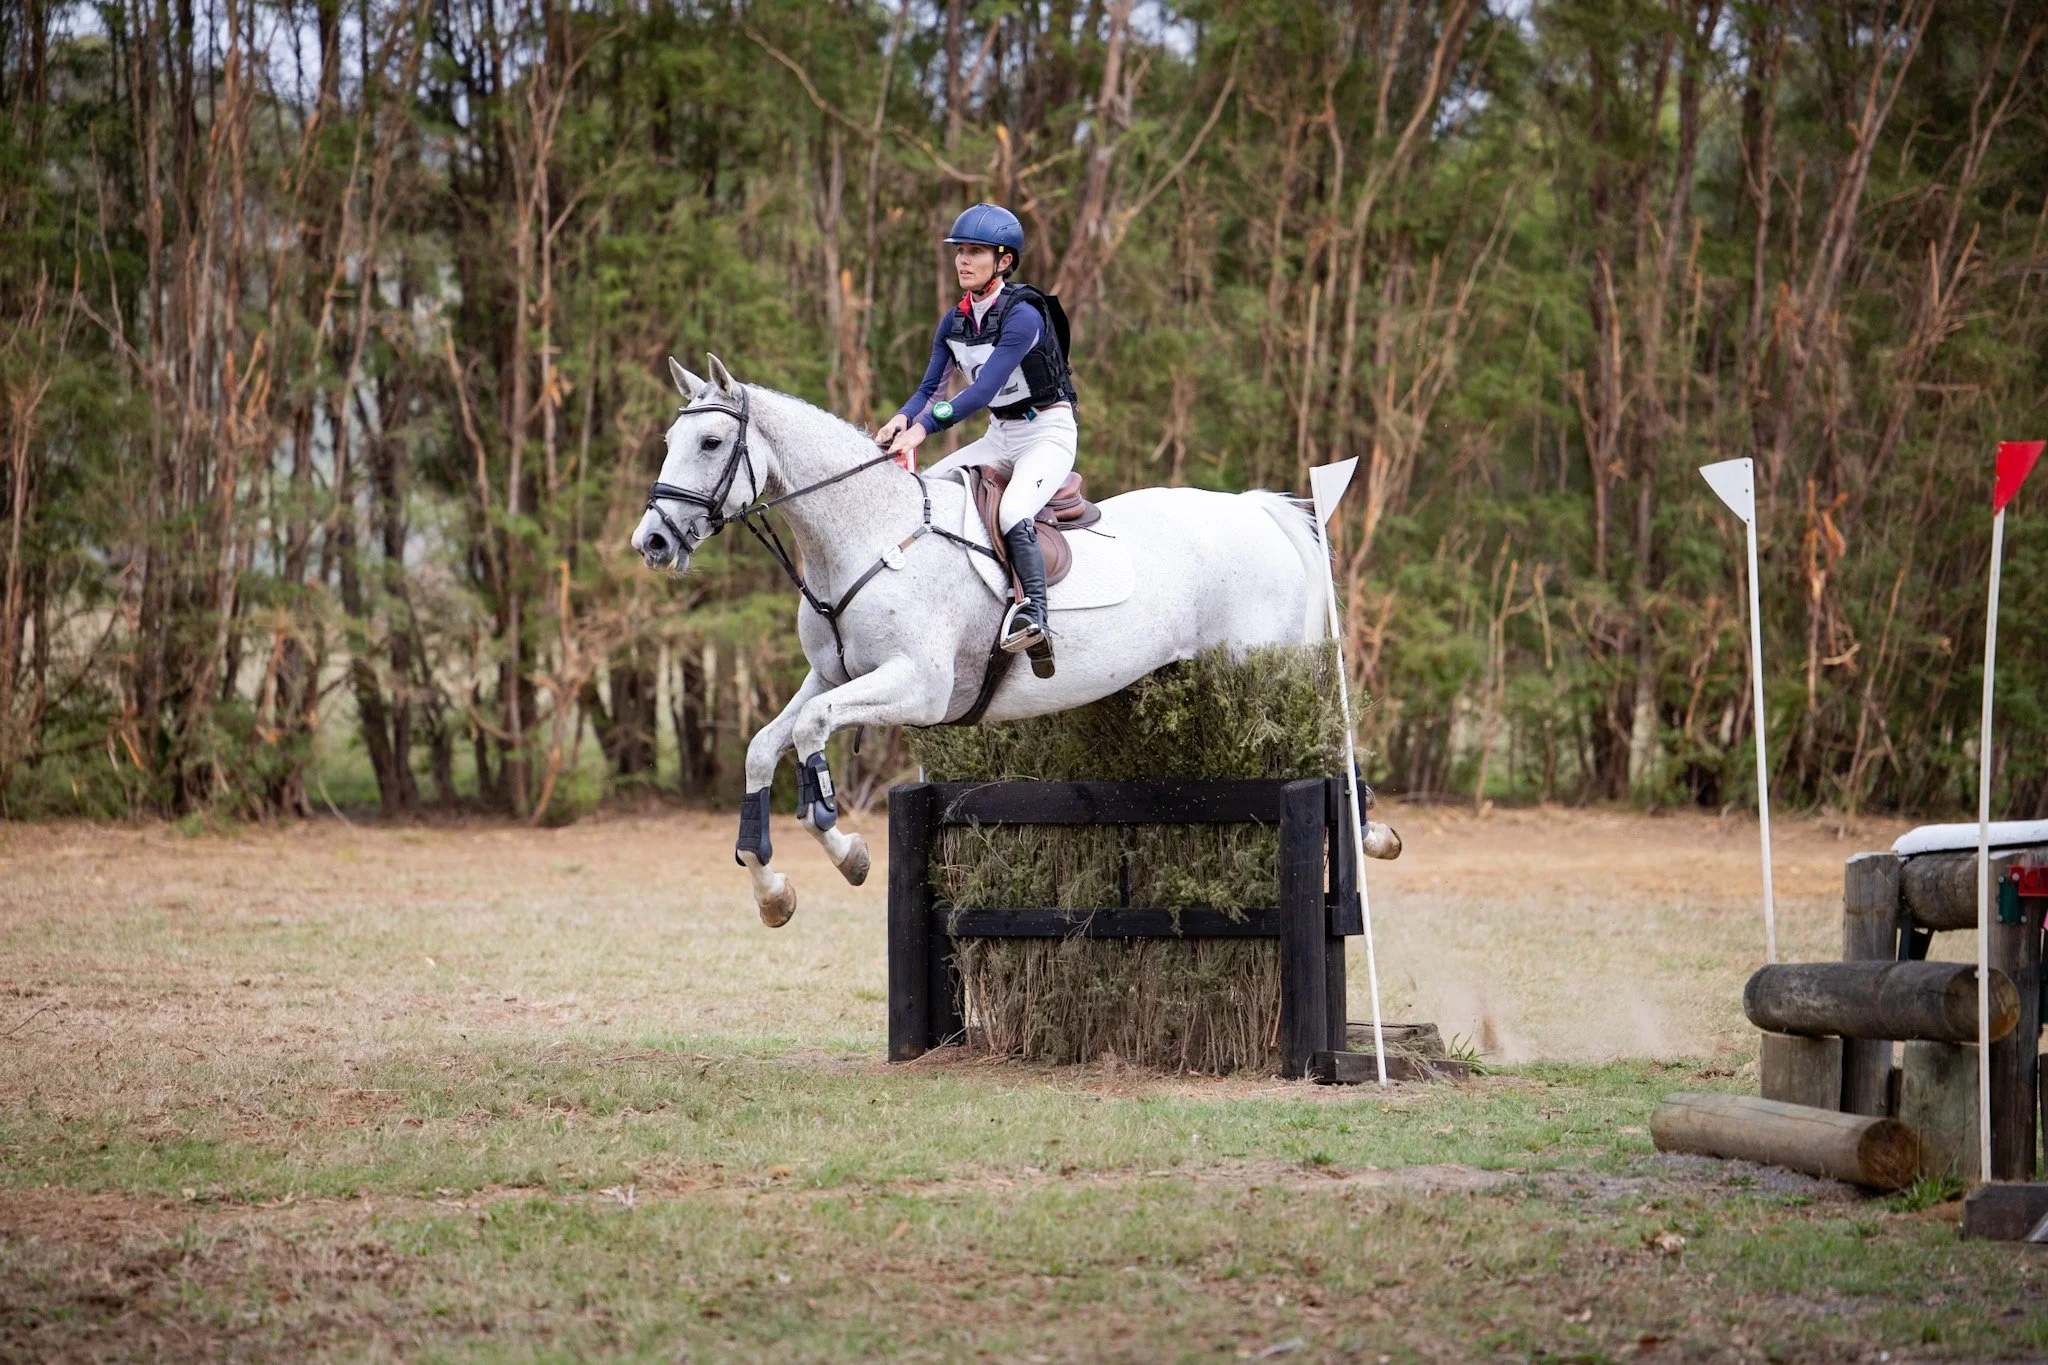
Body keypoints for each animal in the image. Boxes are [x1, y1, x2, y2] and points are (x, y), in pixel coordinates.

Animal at [632, 354, 1399, 927]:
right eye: (671, 443)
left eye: (709, 443)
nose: (653, 542)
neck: (866, 534)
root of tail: (1257, 510)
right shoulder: (831, 675)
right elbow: (765, 746)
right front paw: (773, 891)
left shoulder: (919, 687)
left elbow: (810, 735)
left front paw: (847, 850)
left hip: (1267, 670)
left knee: (1333, 736)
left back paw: (1373, 835)